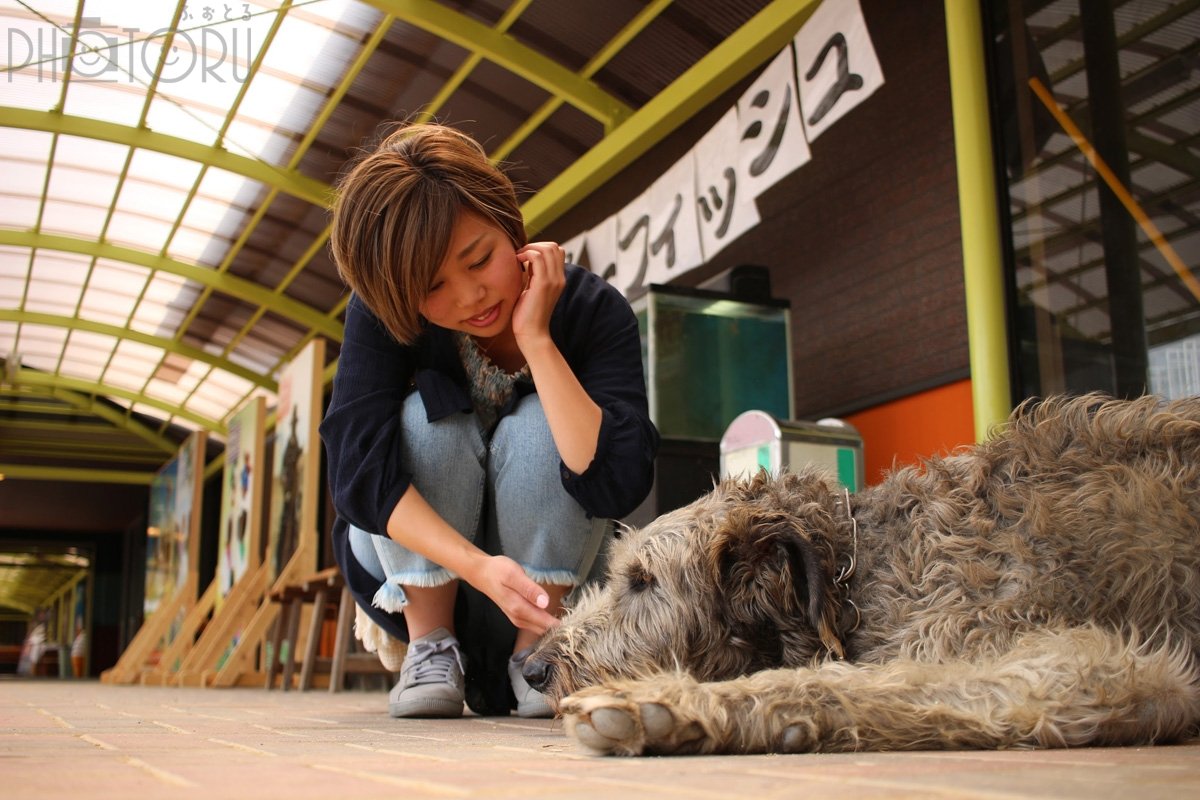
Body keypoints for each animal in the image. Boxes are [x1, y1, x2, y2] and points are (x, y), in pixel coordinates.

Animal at [523, 395, 1200, 758]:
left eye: (643, 581)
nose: (532, 669)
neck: (851, 575)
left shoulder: (1082, 654)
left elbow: (884, 682)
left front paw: (671, 705)